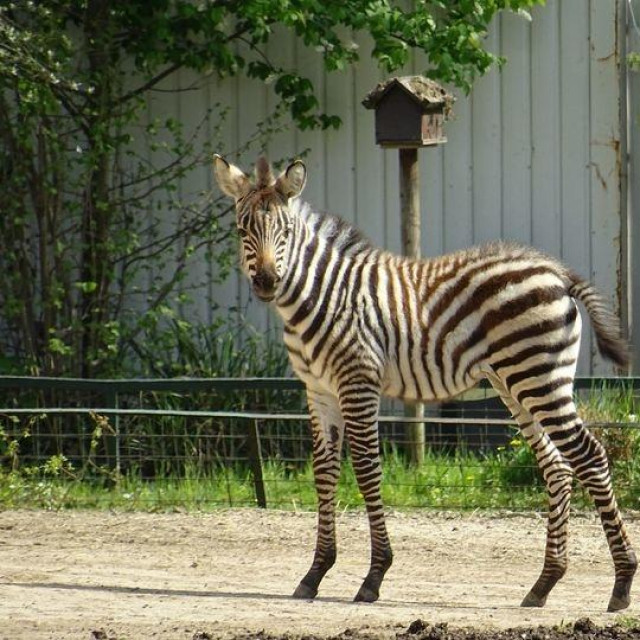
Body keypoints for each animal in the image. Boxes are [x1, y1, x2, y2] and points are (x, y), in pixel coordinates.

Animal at [213, 154, 636, 611]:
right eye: (242, 229)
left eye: (286, 232)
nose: (266, 282)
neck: (319, 295)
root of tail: (557, 273)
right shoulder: (319, 391)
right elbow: (323, 472)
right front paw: (315, 572)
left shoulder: (358, 381)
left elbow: (366, 468)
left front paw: (374, 575)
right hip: (516, 385)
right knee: (557, 467)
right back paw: (544, 584)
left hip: (540, 379)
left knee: (590, 456)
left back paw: (622, 583)